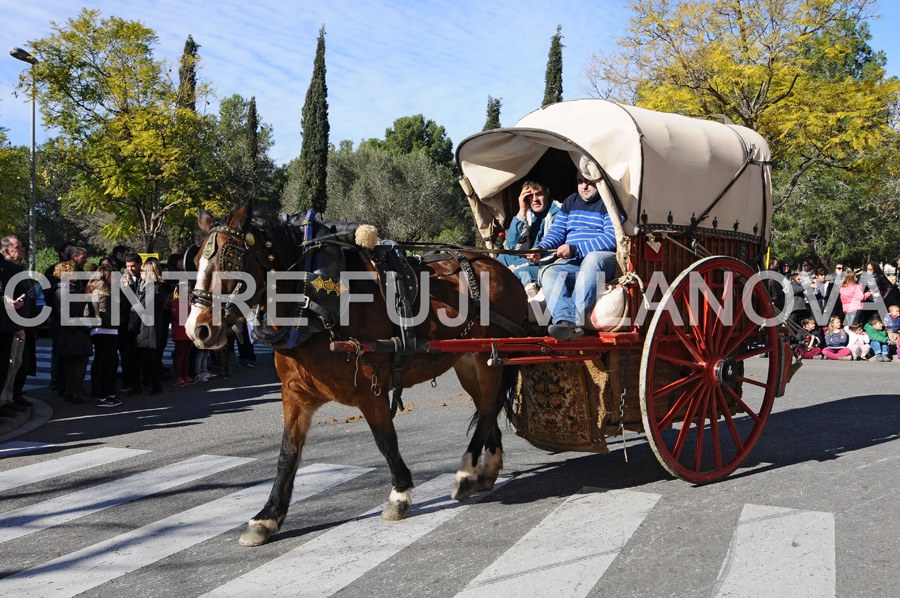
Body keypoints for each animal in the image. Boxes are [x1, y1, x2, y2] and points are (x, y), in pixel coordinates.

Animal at [185, 204, 532, 548]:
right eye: (197, 260)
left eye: (230, 262)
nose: (196, 329)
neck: (311, 301)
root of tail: (501, 268)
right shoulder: (295, 394)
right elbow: (287, 455)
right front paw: (267, 517)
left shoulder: (370, 388)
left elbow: (385, 441)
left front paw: (399, 495)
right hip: (469, 361)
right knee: (488, 408)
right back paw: (484, 472)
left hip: (491, 356)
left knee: (488, 408)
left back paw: (465, 474)